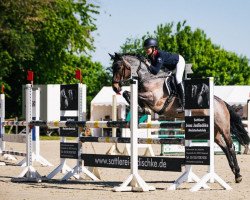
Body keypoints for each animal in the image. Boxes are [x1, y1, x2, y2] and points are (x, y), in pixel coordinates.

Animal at [110, 52, 250, 183]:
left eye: (118, 67)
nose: (115, 88)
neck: (149, 77)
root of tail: (221, 102)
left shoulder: (155, 100)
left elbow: (131, 94)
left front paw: (143, 108)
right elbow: (128, 93)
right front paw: (141, 108)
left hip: (223, 127)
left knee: (230, 147)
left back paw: (238, 175)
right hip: (214, 131)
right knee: (224, 147)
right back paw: (234, 171)